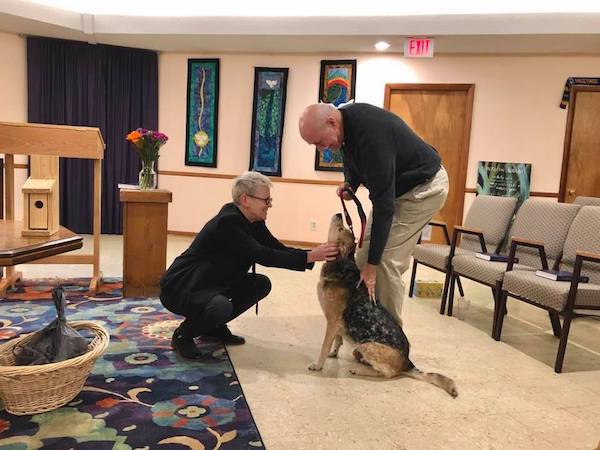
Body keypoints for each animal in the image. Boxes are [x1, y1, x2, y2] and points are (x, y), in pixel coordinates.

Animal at [310, 214, 460, 398]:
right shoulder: (339, 324)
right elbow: (338, 341)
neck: (341, 265)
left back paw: (359, 370)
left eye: (340, 228)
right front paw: (334, 353)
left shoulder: (332, 322)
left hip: (367, 345)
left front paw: (318, 365)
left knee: (387, 374)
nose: (340, 213)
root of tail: (407, 364)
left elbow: (325, 346)